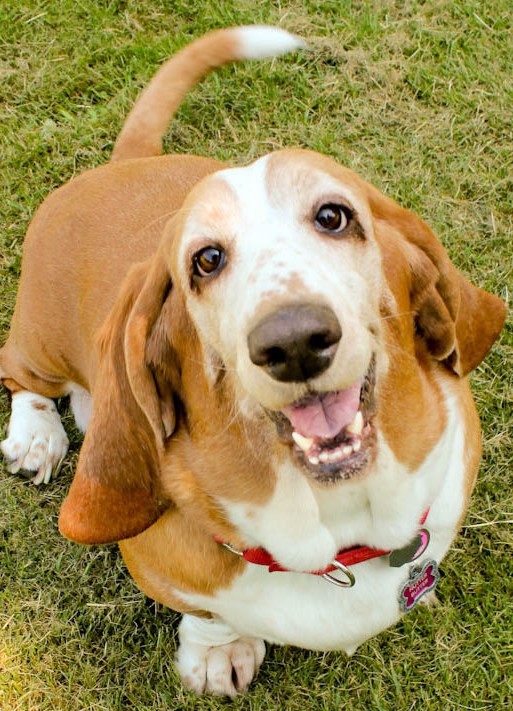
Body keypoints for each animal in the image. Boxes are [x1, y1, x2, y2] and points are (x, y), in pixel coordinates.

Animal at [0, 26, 504, 696]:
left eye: (333, 216)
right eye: (206, 260)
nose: (294, 341)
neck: (333, 530)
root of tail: (125, 163)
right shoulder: (169, 571)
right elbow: (207, 614)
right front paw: (219, 653)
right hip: (41, 339)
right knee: (19, 374)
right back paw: (36, 437)